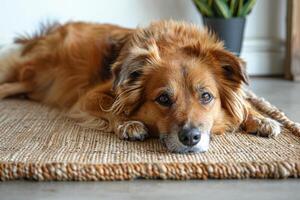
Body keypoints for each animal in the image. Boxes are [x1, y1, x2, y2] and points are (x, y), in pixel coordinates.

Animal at [0, 20, 282, 152]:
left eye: (206, 96)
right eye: (163, 99)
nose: (191, 138)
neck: (173, 44)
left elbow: (243, 104)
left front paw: (260, 118)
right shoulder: (89, 96)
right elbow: (112, 106)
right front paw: (128, 123)